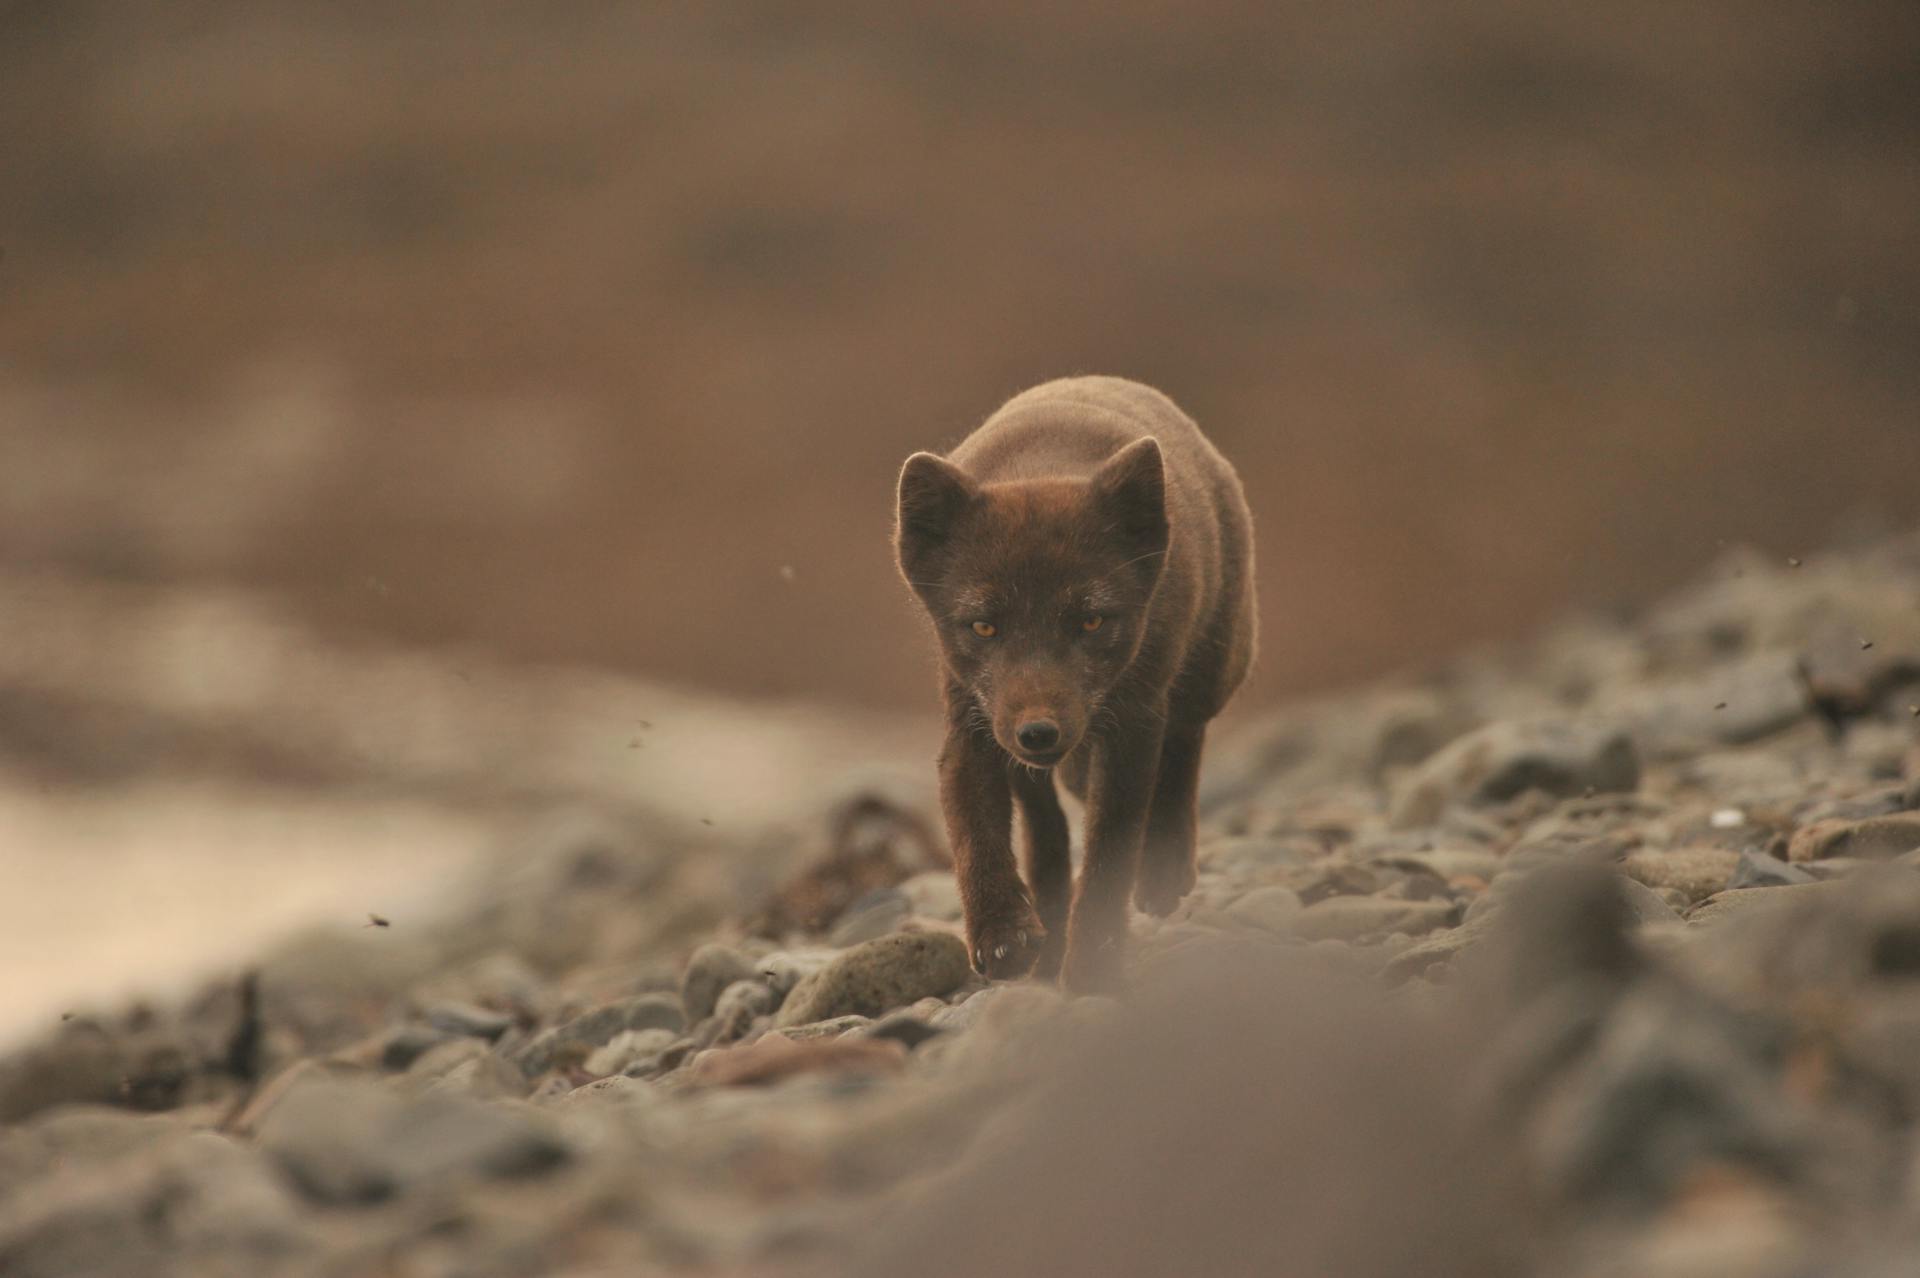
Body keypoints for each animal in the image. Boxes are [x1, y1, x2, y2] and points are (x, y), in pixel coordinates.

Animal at [894, 374, 1259, 990]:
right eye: (984, 626)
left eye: (1090, 621)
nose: (1039, 733)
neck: (1039, 465)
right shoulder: (971, 725)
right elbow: (974, 834)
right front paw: (1003, 936)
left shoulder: (1132, 730)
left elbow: (1110, 857)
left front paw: (1093, 965)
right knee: (1044, 825)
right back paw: (1047, 925)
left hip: (1217, 666)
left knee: (1184, 744)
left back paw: (1164, 875)